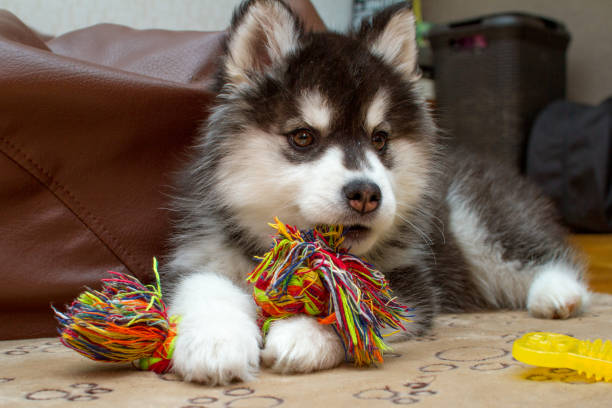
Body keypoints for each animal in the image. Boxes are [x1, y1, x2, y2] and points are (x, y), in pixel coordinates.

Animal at [161, 0, 588, 384]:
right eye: (303, 137)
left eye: (380, 139)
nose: (366, 193)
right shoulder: (202, 253)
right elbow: (206, 286)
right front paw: (216, 342)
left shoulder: (409, 279)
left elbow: (357, 305)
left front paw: (303, 333)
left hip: (478, 219)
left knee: (543, 256)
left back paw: (557, 295)